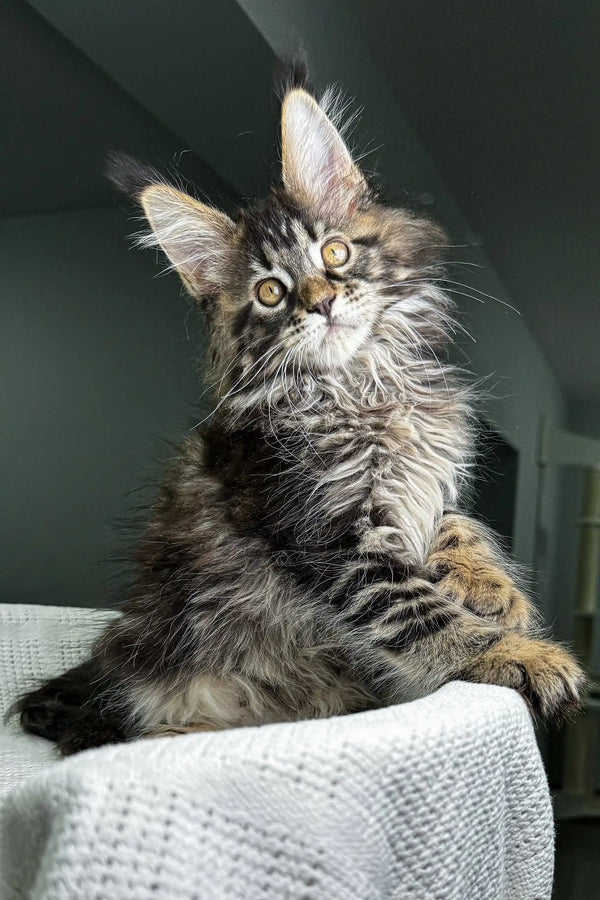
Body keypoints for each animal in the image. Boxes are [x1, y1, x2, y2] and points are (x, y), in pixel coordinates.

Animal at [14, 82, 584, 752]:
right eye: (270, 293)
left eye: (335, 252)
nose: (323, 302)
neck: (362, 384)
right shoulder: (326, 536)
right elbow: (418, 614)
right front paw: (516, 654)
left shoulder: (408, 485)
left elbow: (452, 523)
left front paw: (492, 587)